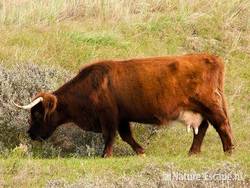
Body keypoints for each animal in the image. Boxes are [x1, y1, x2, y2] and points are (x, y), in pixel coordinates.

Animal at [14, 53, 234, 157]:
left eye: (36, 114)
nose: (30, 134)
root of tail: (210, 57)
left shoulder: (108, 115)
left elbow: (110, 136)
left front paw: (105, 155)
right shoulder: (121, 117)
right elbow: (127, 136)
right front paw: (141, 151)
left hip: (210, 104)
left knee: (222, 125)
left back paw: (229, 150)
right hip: (200, 109)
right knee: (203, 128)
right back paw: (193, 152)